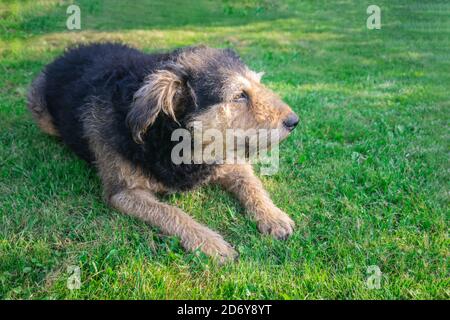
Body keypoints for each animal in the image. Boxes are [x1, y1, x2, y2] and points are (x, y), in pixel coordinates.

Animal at [26, 42, 298, 262]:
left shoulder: (226, 159)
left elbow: (251, 183)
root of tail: (68, 53)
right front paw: (209, 242)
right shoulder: (123, 192)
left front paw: (272, 216)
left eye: (258, 84)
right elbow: (170, 212)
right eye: (239, 96)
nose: (294, 121)